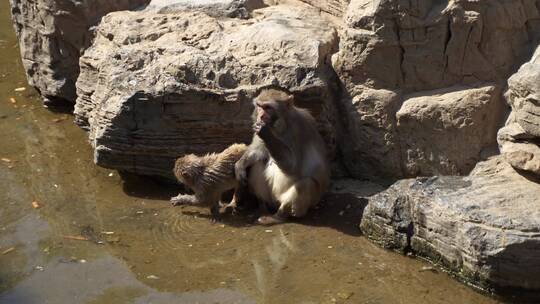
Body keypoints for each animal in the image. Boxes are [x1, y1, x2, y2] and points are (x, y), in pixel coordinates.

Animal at [235, 86, 330, 224]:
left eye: (268, 107)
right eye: (259, 106)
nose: (261, 116)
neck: (280, 126)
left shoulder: (298, 129)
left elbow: (293, 167)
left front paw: (266, 133)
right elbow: (258, 151)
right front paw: (239, 165)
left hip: (305, 202)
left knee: (305, 184)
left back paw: (279, 216)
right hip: (271, 198)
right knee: (257, 163)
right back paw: (262, 206)